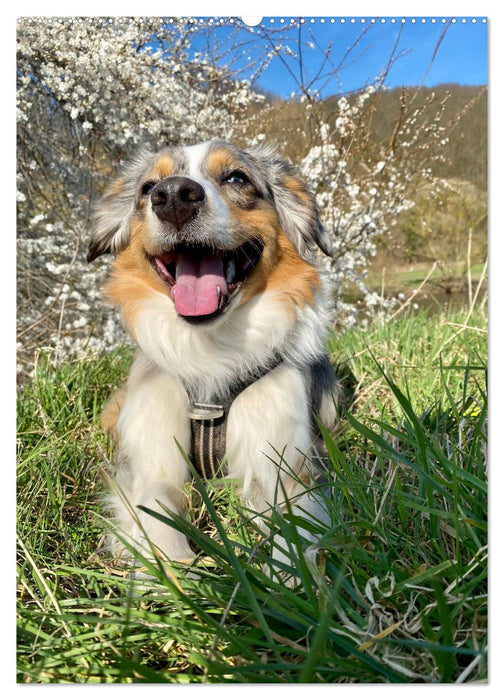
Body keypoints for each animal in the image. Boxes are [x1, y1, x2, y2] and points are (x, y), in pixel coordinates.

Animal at [87, 141, 346, 568]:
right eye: (148, 187)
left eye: (237, 178)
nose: (174, 196)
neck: (209, 350)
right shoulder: (151, 459)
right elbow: (157, 515)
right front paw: (176, 578)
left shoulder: (288, 463)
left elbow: (293, 531)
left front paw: (287, 578)